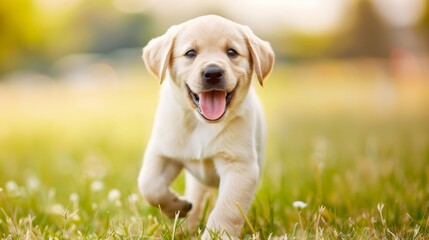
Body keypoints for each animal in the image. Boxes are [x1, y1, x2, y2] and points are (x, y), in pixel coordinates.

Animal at [138, 15, 274, 238]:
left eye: (231, 52)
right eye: (190, 53)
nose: (213, 73)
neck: (201, 124)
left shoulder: (240, 167)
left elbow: (226, 211)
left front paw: (216, 235)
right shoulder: (163, 151)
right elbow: (149, 185)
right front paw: (177, 206)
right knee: (197, 200)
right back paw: (186, 225)